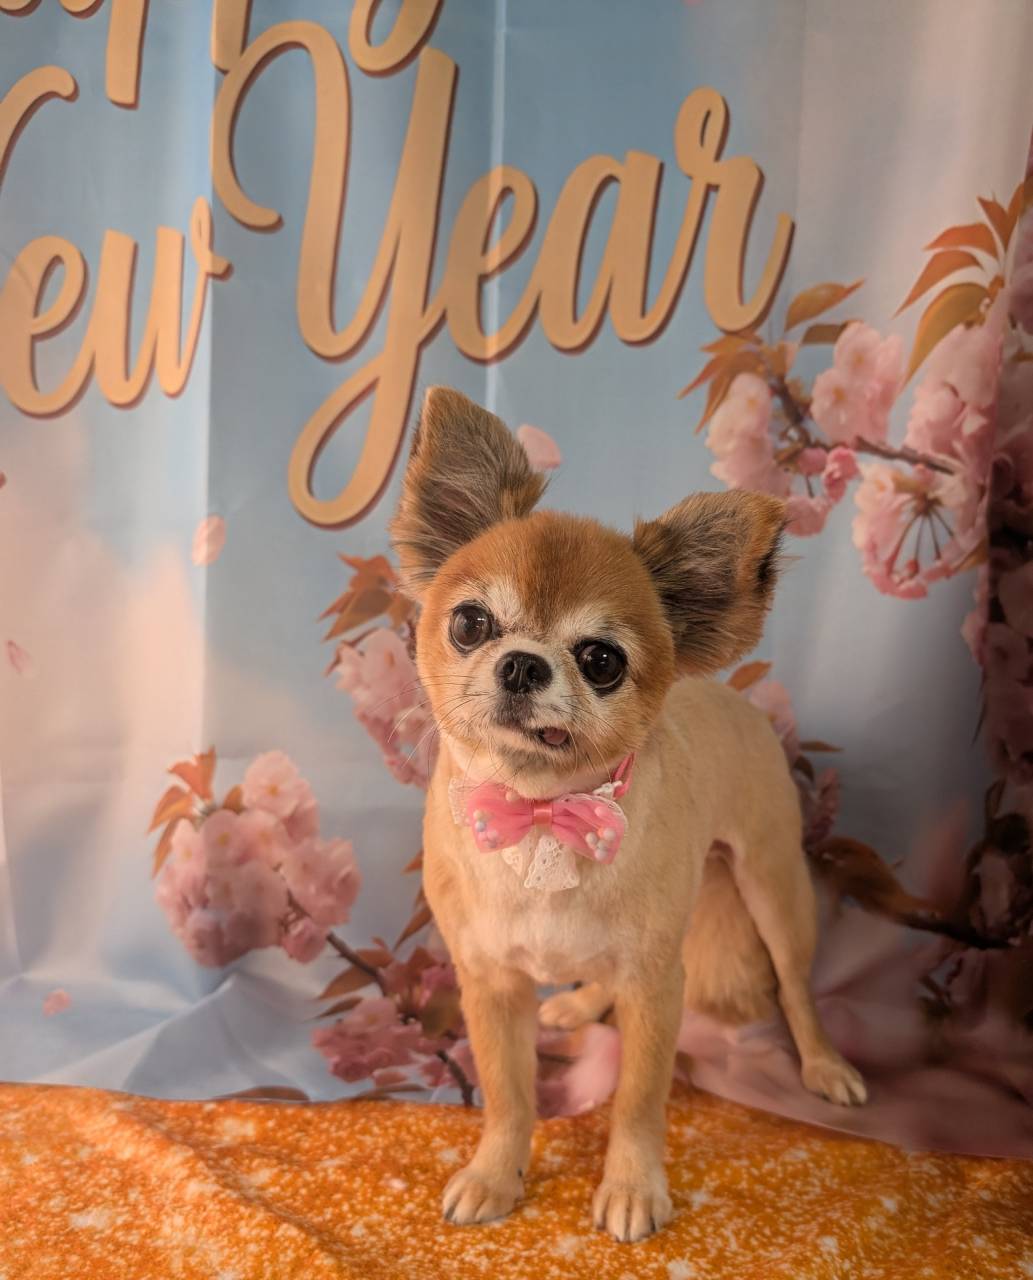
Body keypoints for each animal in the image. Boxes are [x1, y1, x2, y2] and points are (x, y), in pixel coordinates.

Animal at [389, 386, 865, 1243]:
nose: (521, 664)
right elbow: (508, 1094)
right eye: (470, 623)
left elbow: (639, 1100)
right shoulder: (490, 984)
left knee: (795, 987)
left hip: (774, 887)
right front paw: (496, 1173)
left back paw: (821, 1063)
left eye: (601, 661)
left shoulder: (655, 986)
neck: (544, 812)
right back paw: (579, 1001)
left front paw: (634, 1186)